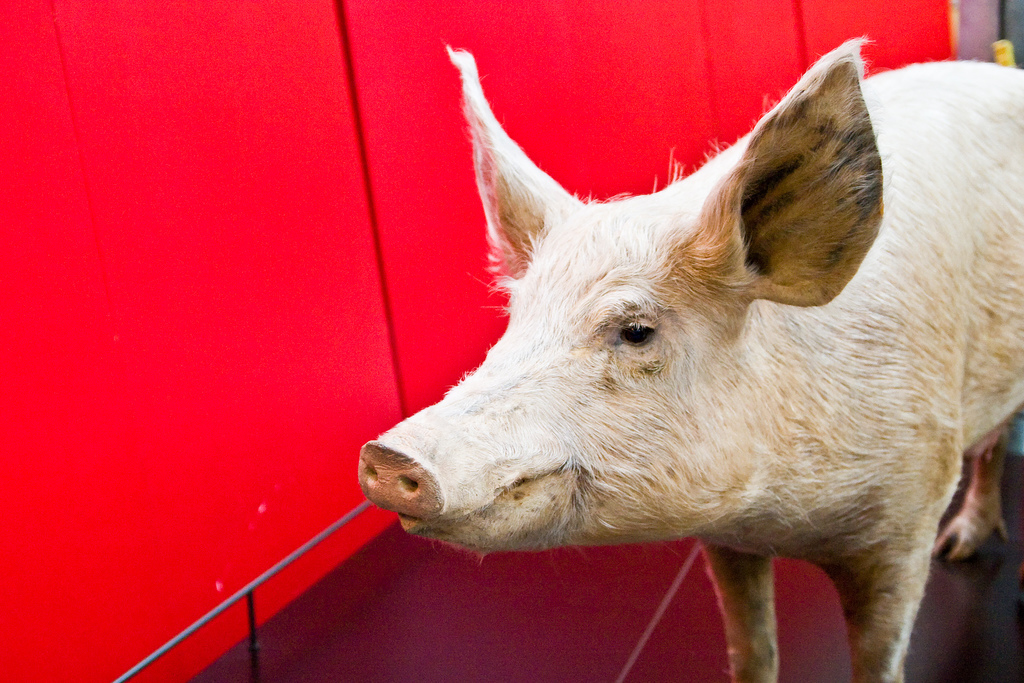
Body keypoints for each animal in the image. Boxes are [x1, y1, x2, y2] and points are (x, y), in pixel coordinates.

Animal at [358, 44, 1024, 683]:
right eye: (515, 319)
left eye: (635, 331)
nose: (388, 456)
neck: (783, 522)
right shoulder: (727, 540)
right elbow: (751, 649)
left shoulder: (908, 516)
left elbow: (881, 660)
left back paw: (962, 554)